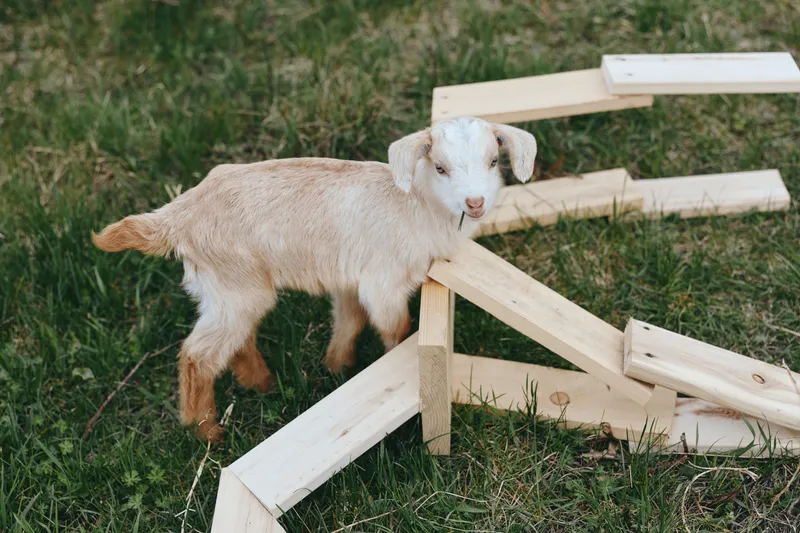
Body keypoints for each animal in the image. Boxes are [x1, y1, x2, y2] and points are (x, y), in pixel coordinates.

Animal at [92, 116, 537, 441]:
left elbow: (349, 320)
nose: (475, 202)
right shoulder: (384, 281)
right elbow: (395, 328)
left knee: (236, 341)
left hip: (222, 289)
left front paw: (337, 364)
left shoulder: (351, 278)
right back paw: (207, 431)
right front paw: (395, 364)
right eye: (441, 167)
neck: (417, 205)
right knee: (197, 356)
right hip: (236, 284)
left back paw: (262, 384)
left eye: (493, 161)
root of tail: (176, 217)